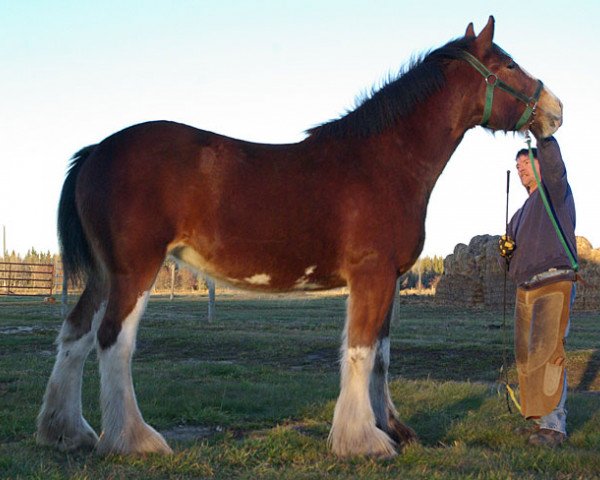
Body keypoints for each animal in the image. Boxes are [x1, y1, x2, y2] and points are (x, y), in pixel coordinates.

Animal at [37, 15, 564, 458]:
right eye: (510, 64)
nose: (556, 110)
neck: (383, 164)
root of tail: (96, 151)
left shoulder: (389, 280)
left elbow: (381, 355)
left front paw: (390, 428)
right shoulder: (372, 275)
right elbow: (360, 351)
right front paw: (363, 441)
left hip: (105, 274)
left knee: (76, 333)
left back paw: (68, 431)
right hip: (135, 270)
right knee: (113, 341)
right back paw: (133, 440)